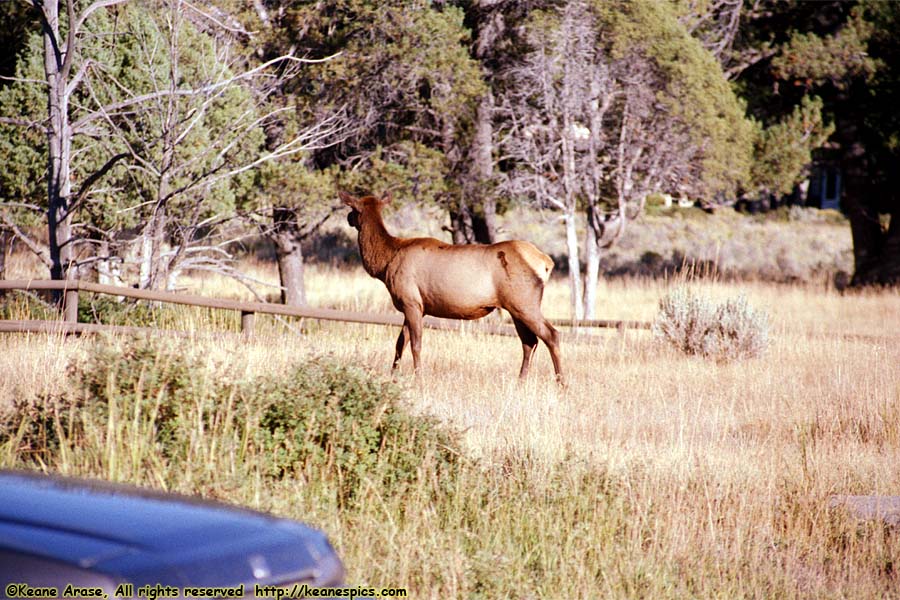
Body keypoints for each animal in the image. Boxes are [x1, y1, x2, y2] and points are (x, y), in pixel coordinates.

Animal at [340, 190, 564, 382]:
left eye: (354, 210)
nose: (348, 218)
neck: (385, 263)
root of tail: (545, 262)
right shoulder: (414, 307)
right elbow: (399, 343)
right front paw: (392, 375)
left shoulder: (411, 302)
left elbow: (416, 344)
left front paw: (419, 378)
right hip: (514, 307)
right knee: (529, 341)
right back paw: (521, 381)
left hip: (524, 302)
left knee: (551, 335)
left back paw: (561, 383)